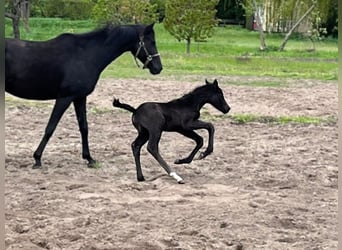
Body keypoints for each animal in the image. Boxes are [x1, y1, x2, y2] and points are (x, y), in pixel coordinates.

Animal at [5, 23, 163, 168]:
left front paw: (89, 158)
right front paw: (37, 158)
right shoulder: (64, 98)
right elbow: (50, 128)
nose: (158, 68)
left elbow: (84, 127)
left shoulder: (79, 97)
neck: (86, 54)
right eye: (152, 42)